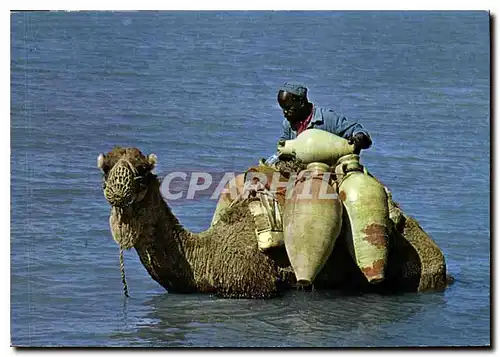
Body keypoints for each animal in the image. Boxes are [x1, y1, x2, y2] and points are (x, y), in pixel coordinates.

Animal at [96, 145, 450, 298]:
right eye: (105, 168)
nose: (117, 192)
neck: (205, 259)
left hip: (418, 271)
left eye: (142, 171)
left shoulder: (255, 287)